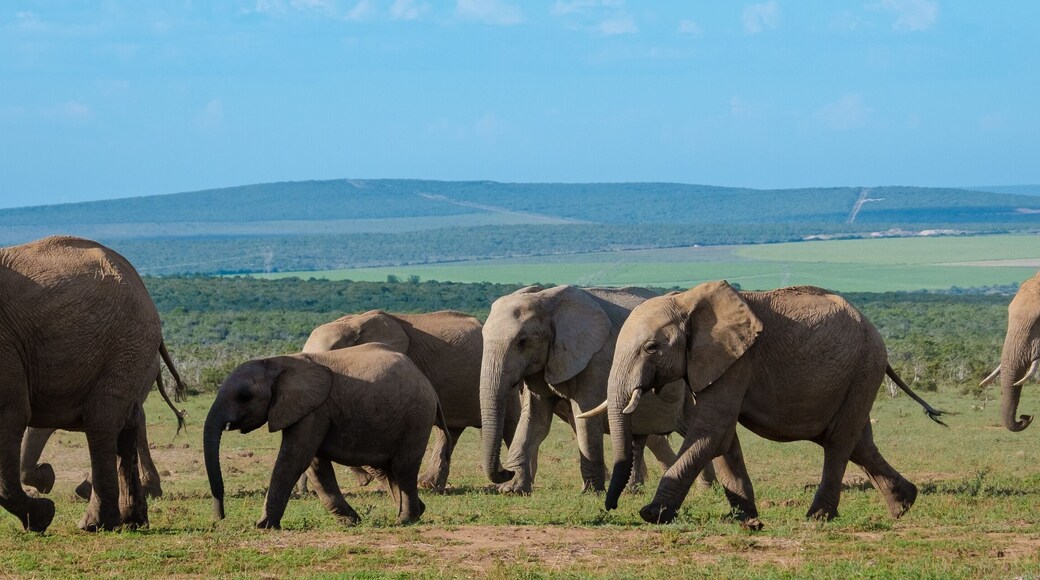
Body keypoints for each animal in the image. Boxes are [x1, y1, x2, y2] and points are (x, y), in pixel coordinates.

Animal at [204, 344, 446, 529]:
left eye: (244, 396)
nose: (220, 518)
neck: (277, 363)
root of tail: (428, 383)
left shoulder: (314, 410)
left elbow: (295, 459)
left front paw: (263, 525)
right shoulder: (312, 411)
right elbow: (315, 465)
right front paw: (350, 522)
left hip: (416, 416)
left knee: (403, 467)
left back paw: (405, 520)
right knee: (385, 470)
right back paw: (417, 512)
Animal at [479, 284, 708, 496]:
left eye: (522, 342)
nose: (505, 471)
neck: (546, 299)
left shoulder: (596, 359)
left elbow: (584, 417)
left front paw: (591, 492)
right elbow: (535, 420)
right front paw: (512, 489)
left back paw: (707, 489)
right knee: (639, 437)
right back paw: (632, 490)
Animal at [587, 281, 945, 526]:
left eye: (651, 348)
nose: (611, 507)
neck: (686, 300)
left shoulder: (737, 361)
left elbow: (712, 430)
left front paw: (651, 515)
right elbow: (723, 437)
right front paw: (744, 520)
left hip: (864, 368)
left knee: (839, 441)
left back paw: (818, 517)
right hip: (858, 376)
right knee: (859, 441)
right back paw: (903, 505)